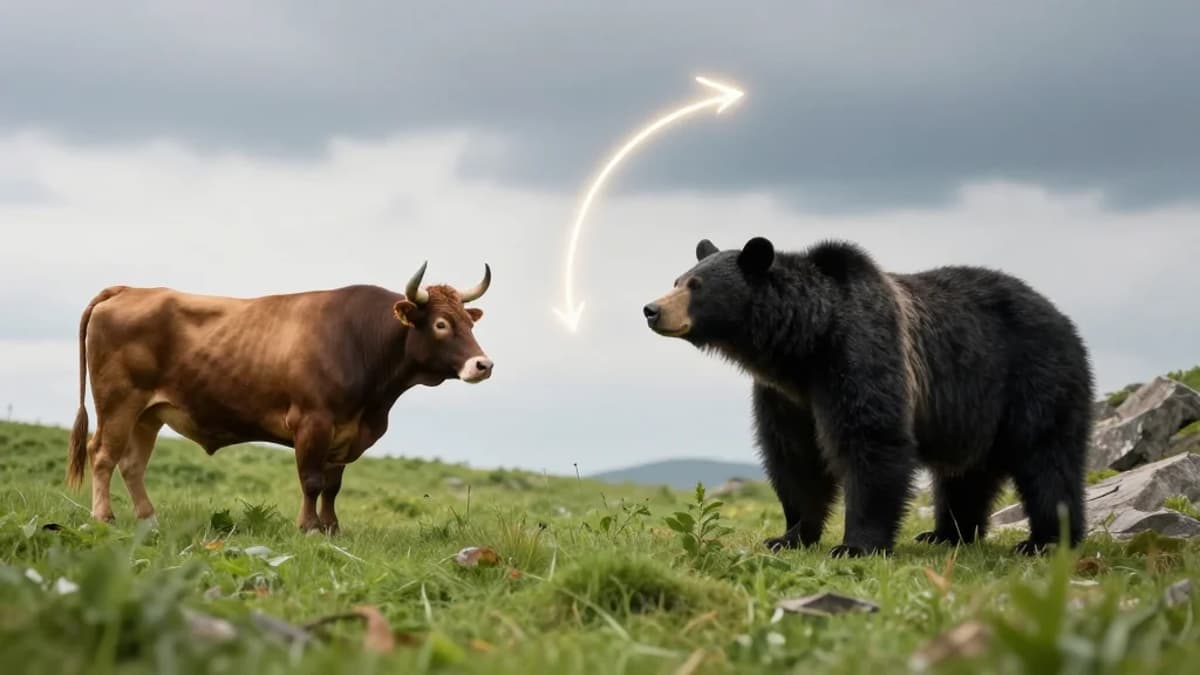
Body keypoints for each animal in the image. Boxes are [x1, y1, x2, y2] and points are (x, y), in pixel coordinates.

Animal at [66, 262, 494, 533]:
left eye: (469, 322)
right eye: (441, 324)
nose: (483, 364)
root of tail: (127, 290)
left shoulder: (345, 433)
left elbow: (333, 485)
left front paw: (332, 528)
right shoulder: (312, 422)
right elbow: (312, 481)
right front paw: (309, 527)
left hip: (148, 413)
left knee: (132, 464)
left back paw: (148, 520)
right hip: (118, 402)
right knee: (102, 454)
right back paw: (104, 517)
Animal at [642, 236, 1094, 558]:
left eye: (696, 285)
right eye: (678, 279)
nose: (651, 309)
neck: (803, 345)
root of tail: (1061, 316)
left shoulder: (858, 352)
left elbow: (871, 439)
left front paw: (855, 544)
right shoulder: (785, 396)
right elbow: (794, 458)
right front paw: (789, 535)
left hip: (1032, 376)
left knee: (1046, 457)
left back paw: (1045, 540)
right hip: (975, 412)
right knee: (965, 475)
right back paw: (946, 534)